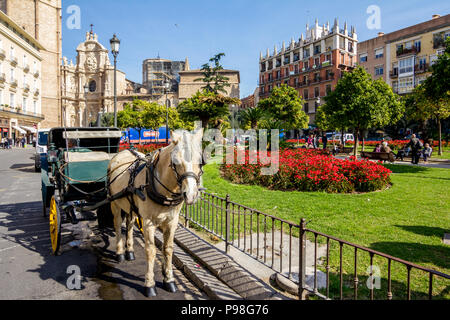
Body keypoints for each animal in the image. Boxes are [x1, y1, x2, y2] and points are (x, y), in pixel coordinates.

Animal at [108, 128, 203, 298]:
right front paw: (150, 283)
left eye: (200, 162)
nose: (191, 195)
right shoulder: (148, 223)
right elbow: (151, 251)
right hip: (115, 203)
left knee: (130, 224)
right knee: (118, 225)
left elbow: (168, 249)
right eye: (176, 162)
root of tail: (121, 152)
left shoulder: (172, 222)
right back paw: (120, 252)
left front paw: (169, 279)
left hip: (131, 205)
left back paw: (129, 250)